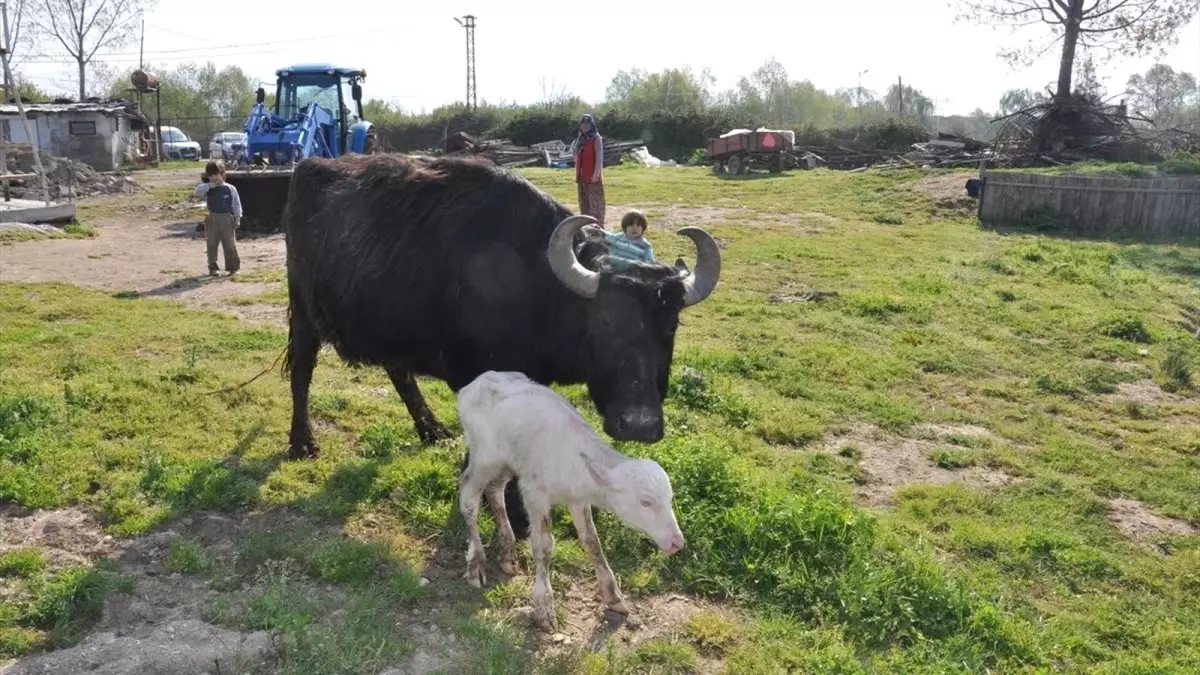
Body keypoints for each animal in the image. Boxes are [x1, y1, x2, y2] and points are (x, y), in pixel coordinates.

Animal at [280, 151, 720, 526]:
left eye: (671, 325)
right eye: (605, 321)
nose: (638, 424)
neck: (534, 283)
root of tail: (308, 169)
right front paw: (513, 512)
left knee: (399, 372)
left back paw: (431, 429)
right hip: (303, 311)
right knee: (301, 371)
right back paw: (302, 443)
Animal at [456, 369, 686, 629]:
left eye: (669, 499)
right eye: (645, 502)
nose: (677, 542)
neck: (575, 458)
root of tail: (476, 383)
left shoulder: (578, 499)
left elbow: (592, 541)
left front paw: (612, 596)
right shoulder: (535, 494)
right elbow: (543, 545)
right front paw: (544, 607)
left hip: (507, 461)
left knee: (495, 489)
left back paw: (507, 551)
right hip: (485, 457)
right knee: (468, 496)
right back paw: (476, 563)